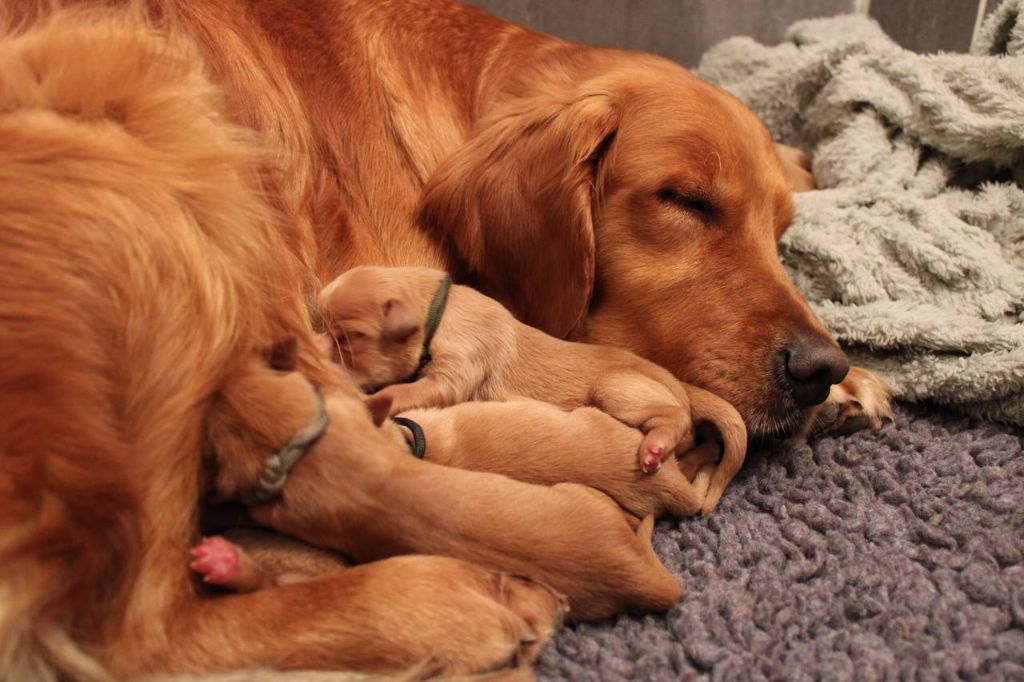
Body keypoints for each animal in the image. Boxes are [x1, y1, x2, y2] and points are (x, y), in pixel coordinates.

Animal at [317, 262, 745, 507]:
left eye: (348, 338)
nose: (314, 351)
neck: (437, 309)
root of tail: (679, 385)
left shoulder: (458, 368)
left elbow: (410, 390)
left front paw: (376, 397)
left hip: (618, 389)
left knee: (676, 420)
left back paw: (655, 447)